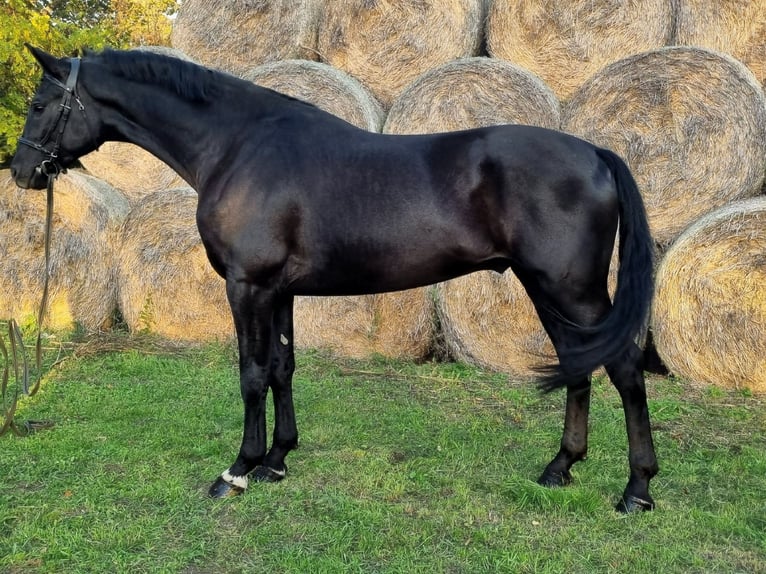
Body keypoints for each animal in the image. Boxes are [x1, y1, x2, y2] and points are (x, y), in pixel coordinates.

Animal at [10, 46, 660, 512]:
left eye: (40, 104)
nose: (20, 171)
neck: (239, 147)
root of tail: (597, 154)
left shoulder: (248, 286)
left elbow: (251, 374)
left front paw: (238, 470)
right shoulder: (280, 291)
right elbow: (282, 367)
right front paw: (277, 460)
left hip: (570, 288)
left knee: (624, 370)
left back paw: (637, 490)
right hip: (549, 289)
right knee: (579, 365)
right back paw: (560, 468)